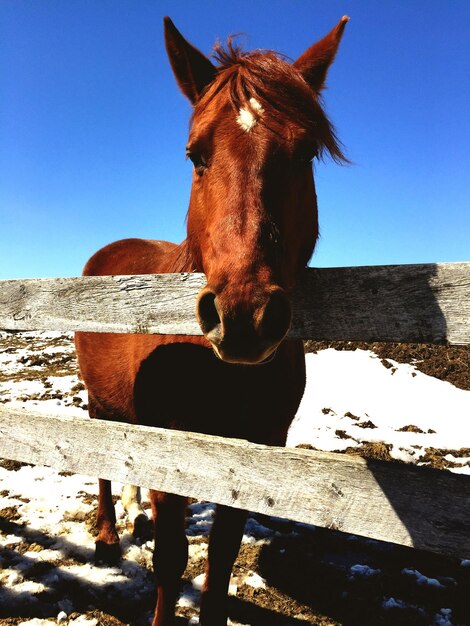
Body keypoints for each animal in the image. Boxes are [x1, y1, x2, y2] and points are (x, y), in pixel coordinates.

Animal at [75, 14, 348, 624]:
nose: (243, 315)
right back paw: (107, 536)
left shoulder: (251, 456)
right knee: (104, 461)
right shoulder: (176, 452)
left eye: (305, 155)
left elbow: (220, 560)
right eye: (195, 155)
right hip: (100, 401)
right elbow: (172, 559)